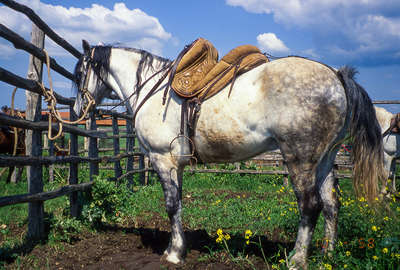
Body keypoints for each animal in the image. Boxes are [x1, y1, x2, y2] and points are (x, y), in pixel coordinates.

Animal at [73, 40, 386, 270]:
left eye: (78, 74)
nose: (77, 111)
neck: (153, 91)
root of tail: (337, 76)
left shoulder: (163, 160)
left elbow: (171, 206)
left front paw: (173, 253)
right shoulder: (177, 165)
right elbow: (179, 205)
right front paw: (180, 247)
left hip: (301, 159)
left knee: (310, 206)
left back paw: (297, 259)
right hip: (326, 159)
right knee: (332, 204)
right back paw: (326, 255)